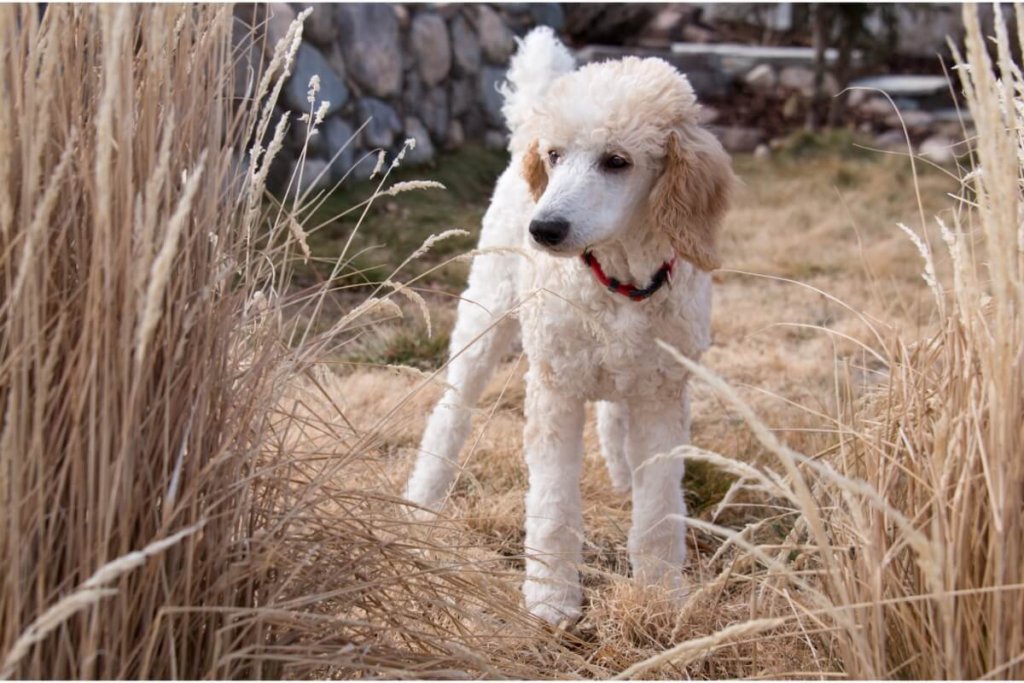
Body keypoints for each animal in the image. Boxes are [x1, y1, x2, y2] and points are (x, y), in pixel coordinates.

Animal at [403, 26, 733, 626]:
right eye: (555, 156)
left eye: (617, 161)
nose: (544, 230)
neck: (619, 280)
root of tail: (520, 139)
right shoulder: (555, 389)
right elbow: (553, 505)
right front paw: (551, 598)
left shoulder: (662, 392)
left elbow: (658, 510)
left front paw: (658, 595)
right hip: (484, 316)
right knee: (450, 412)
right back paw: (423, 497)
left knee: (613, 416)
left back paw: (622, 477)